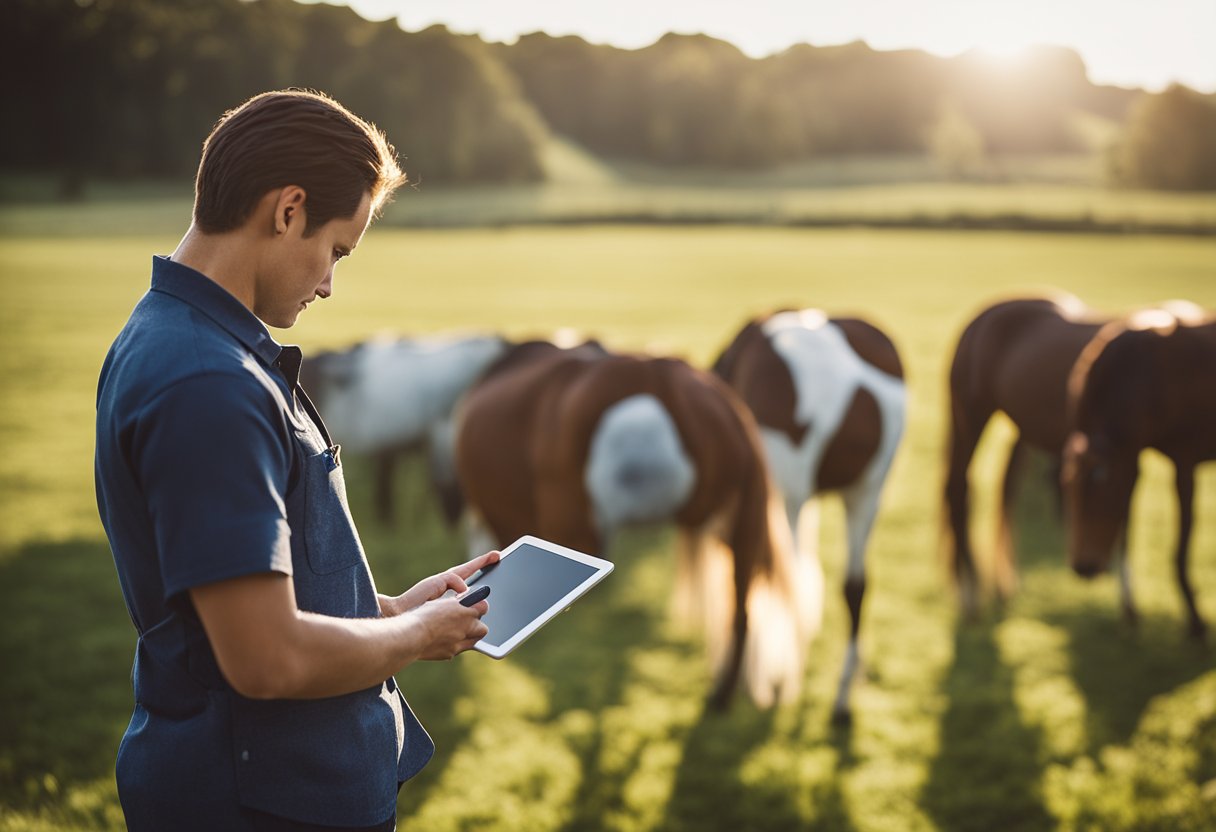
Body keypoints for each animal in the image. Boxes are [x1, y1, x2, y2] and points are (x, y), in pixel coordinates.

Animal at [938, 291, 1113, 610]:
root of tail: (980, 317)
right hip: (970, 416)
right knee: (958, 490)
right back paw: (970, 594)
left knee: (1005, 489)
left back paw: (1002, 586)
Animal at [1065, 305, 1216, 637]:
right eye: (1067, 487)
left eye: (1099, 479)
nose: (1083, 567)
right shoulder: (1132, 460)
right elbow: (1126, 525)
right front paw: (1130, 611)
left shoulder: (1184, 460)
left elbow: (1181, 546)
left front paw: (1196, 621)